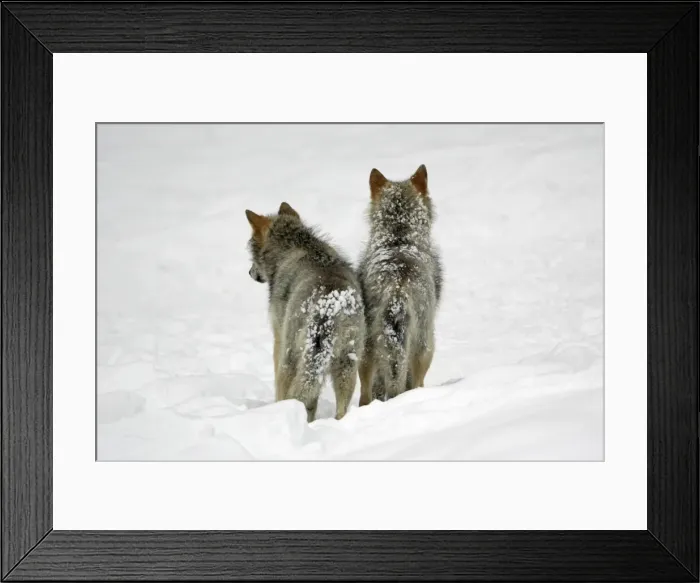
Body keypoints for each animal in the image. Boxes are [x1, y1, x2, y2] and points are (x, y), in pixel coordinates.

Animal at [246, 202, 365, 422]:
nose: (250, 272)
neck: (297, 246)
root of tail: (329, 306)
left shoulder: (278, 341)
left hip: (291, 358)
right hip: (347, 365)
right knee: (339, 409)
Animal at [357, 164, 443, 406]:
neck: (399, 238)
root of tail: (397, 291)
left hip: (365, 352)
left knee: (365, 396)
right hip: (425, 347)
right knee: (414, 384)